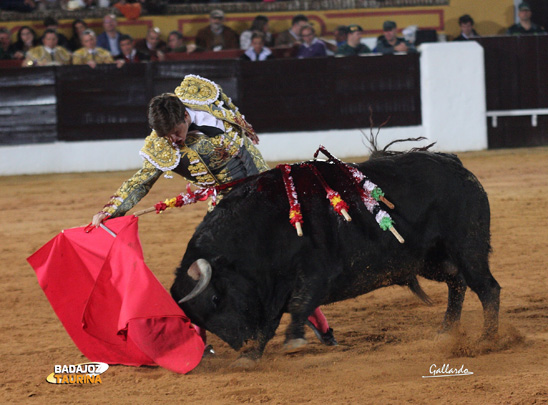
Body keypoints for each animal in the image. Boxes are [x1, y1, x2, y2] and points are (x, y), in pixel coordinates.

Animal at [171, 152, 500, 360]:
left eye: (216, 298)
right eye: (196, 317)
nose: (242, 344)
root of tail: (456, 165)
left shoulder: (316, 273)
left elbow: (299, 304)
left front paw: (292, 341)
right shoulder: (271, 292)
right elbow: (270, 322)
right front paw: (251, 356)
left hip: (467, 248)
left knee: (487, 288)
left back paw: (488, 339)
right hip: (430, 260)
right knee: (457, 283)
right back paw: (446, 331)